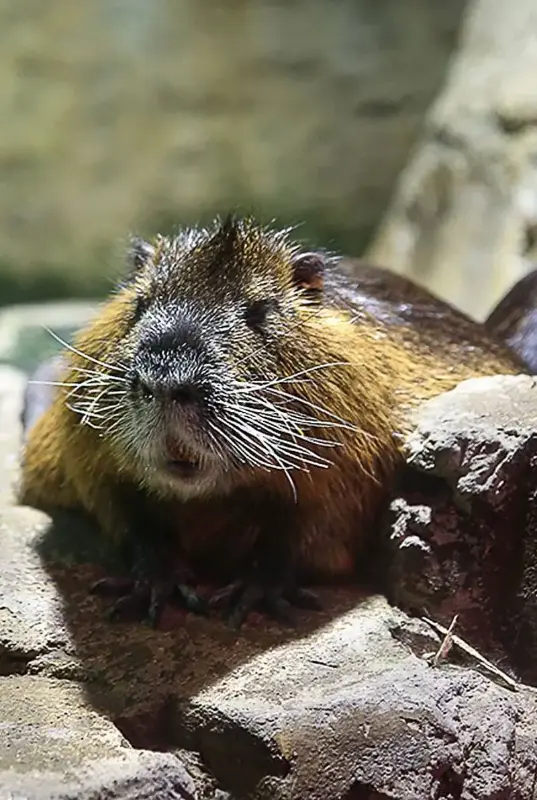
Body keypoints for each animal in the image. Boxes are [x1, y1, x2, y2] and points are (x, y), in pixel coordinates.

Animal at [19, 216, 525, 628]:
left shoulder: (354, 474)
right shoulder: (87, 459)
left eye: (260, 311)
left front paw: (250, 595)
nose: (166, 381)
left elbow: (309, 535)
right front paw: (152, 587)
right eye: (140, 304)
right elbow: (125, 516)